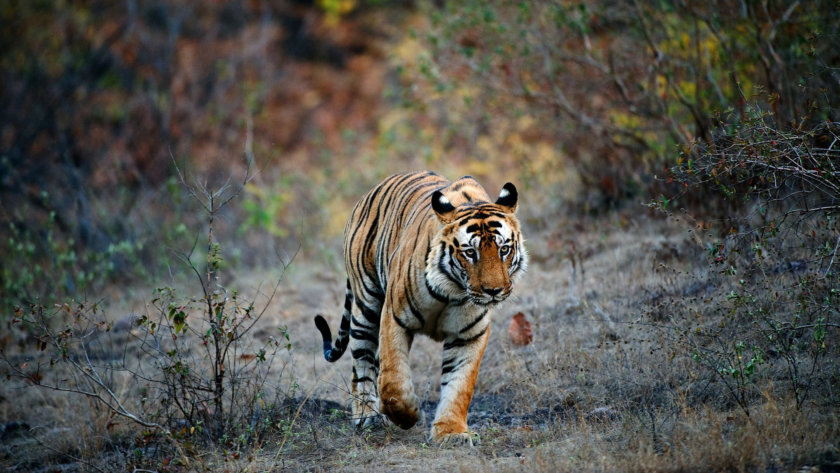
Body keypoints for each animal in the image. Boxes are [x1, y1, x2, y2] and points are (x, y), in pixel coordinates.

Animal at [316, 171, 524, 444]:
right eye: (470, 252)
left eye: (504, 249)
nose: (494, 290)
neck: (453, 291)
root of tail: (370, 192)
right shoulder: (394, 318)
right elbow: (393, 381)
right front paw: (408, 416)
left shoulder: (469, 335)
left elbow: (459, 385)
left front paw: (451, 433)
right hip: (366, 306)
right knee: (361, 364)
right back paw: (367, 416)